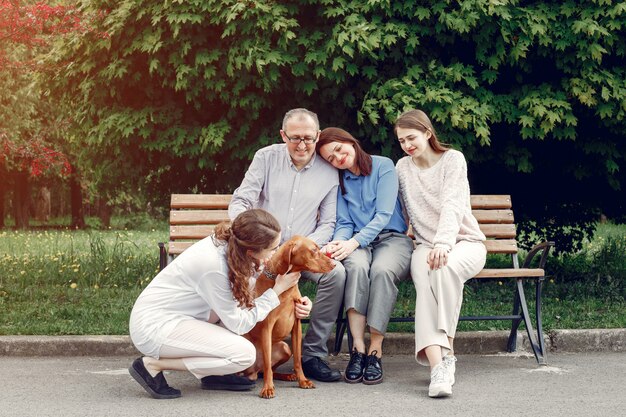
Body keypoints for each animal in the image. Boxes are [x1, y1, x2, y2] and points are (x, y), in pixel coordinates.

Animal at [243, 236, 334, 398]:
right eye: (314, 250)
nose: (334, 263)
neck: (286, 288)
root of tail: (254, 371)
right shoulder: (267, 327)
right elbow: (267, 364)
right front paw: (268, 388)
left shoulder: (297, 325)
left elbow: (297, 359)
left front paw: (303, 380)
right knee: (262, 369)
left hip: (285, 347)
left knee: (267, 370)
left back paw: (287, 376)